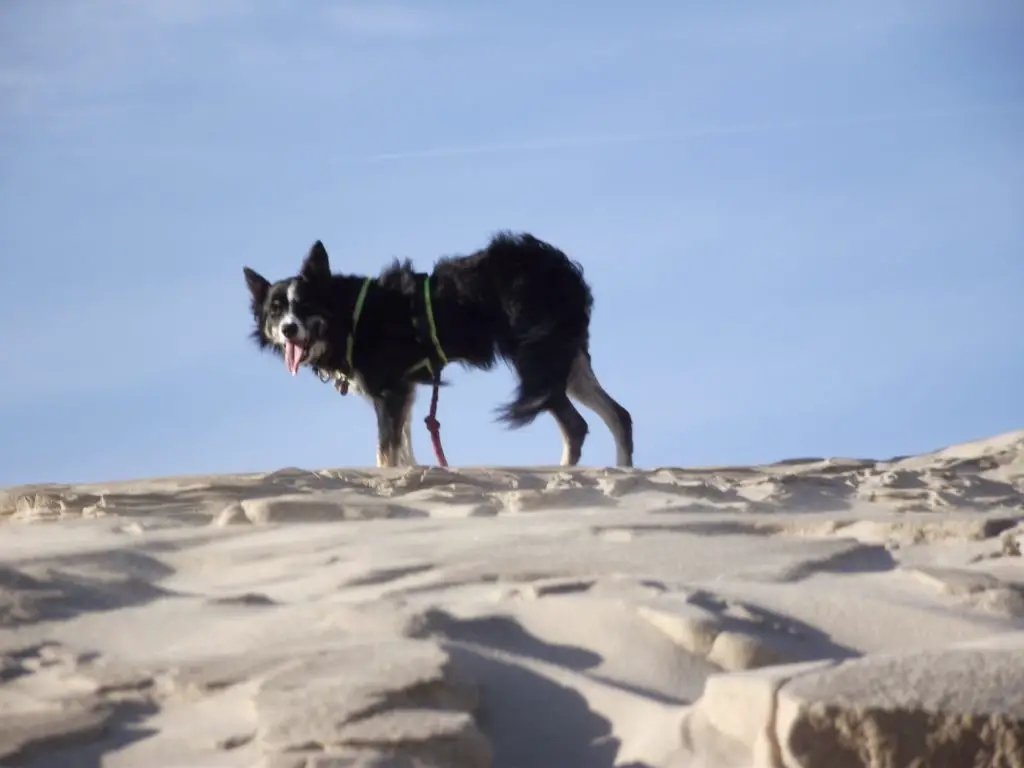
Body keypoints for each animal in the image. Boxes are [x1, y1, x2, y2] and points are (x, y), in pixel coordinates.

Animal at [244, 231, 634, 468]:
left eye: (305, 305)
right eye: (275, 310)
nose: (288, 329)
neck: (349, 315)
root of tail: (561, 268)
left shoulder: (389, 391)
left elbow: (385, 450)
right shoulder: (404, 390)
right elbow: (403, 444)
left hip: (535, 360)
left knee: (576, 426)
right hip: (567, 362)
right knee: (619, 415)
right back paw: (622, 472)